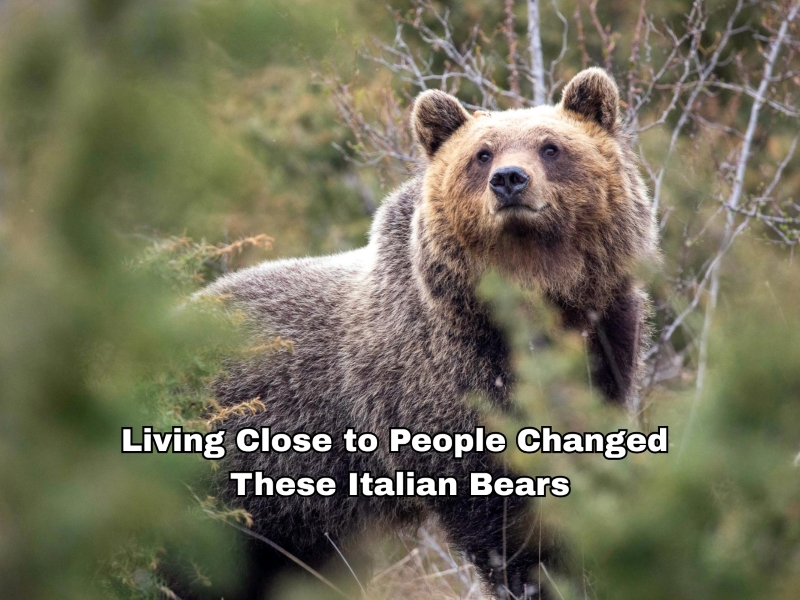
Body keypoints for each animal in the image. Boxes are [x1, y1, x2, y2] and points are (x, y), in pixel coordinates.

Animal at [178, 68, 657, 600]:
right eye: (481, 153)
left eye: (551, 147)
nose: (509, 180)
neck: (535, 302)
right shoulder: (444, 378)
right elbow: (501, 509)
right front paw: (536, 575)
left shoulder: (605, 339)